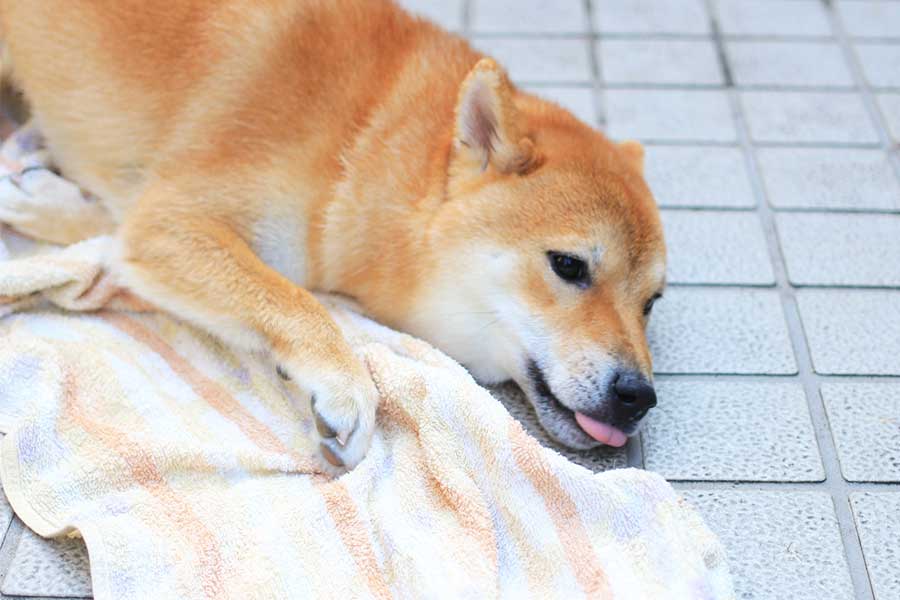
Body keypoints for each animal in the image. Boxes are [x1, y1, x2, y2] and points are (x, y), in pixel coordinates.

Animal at [1, 0, 668, 468]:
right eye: (569, 266)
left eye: (650, 302)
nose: (638, 396)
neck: (363, 134)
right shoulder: (171, 220)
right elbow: (297, 301)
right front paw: (346, 384)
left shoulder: (152, 217)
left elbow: (110, 228)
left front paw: (46, 197)